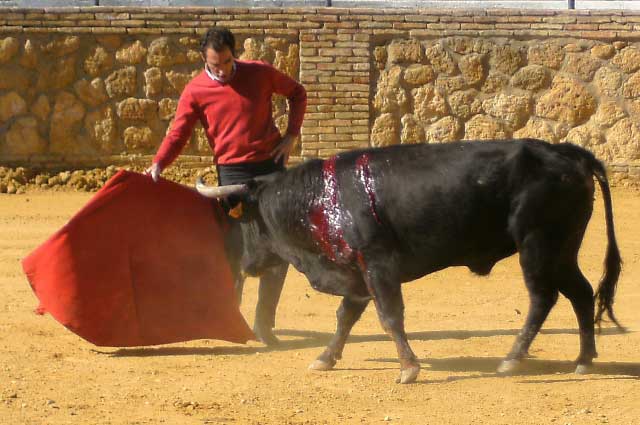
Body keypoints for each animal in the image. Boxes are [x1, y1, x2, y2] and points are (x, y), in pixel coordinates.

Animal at [196, 137, 620, 382]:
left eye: (245, 219)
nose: (247, 266)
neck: (319, 199)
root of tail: (570, 153)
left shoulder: (378, 266)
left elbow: (389, 317)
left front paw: (409, 368)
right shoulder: (356, 274)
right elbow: (345, 318)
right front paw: (326, 358)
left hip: (538, 245)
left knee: (543, 298)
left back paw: (512, 359)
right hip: (562, 250)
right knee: (581, 293)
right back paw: (584, 359)